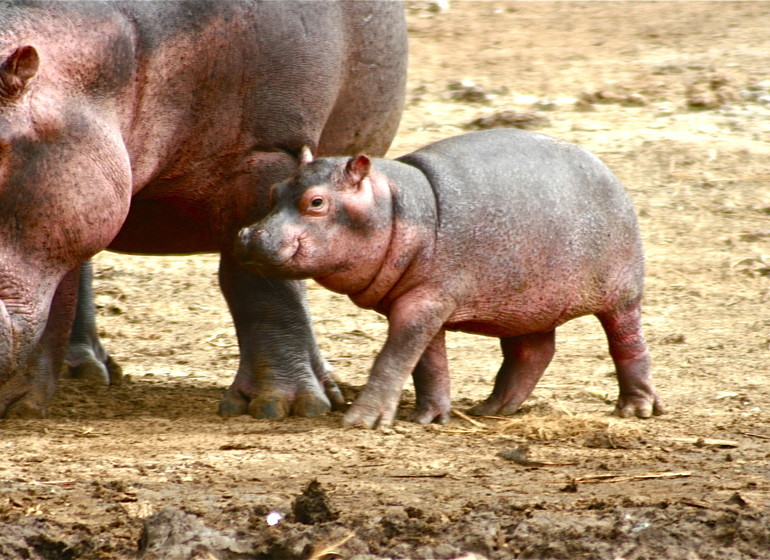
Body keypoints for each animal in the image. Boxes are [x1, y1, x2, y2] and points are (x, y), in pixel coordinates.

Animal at [0, 2, 408, 418]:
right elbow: (57, 296)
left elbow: (262, 282)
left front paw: (283, 404)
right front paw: (20, 401)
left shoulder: (267, 152)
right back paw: (84, 372)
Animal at [237, 129, 664, 426]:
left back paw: (636, 409)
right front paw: (429, 418)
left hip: (622, 295)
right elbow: (429, 364)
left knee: (627, 344)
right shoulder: (420, 302)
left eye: (316, 202)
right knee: (532, 353)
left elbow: (393, 359)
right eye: (274, 192)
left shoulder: (426, 301)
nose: (250, 235)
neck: (393, 204)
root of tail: (603, 166)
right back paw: (492, 409)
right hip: (528, 302)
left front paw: (362, 420)